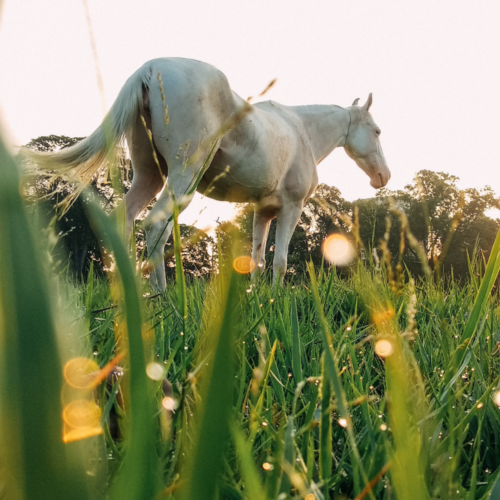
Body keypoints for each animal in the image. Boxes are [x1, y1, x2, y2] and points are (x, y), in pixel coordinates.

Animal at [28, 56, 390, 292]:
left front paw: (258, 299)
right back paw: (163, 297)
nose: (383, 176)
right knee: (155, 225)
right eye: (376, 131)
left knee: (125, 221)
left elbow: (258, 258)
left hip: (149, 176)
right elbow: (281, 261)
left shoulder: (264, 211)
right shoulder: (292, 206)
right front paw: (276, 299)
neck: (302, 130)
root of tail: (150, 69)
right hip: (181, 178)